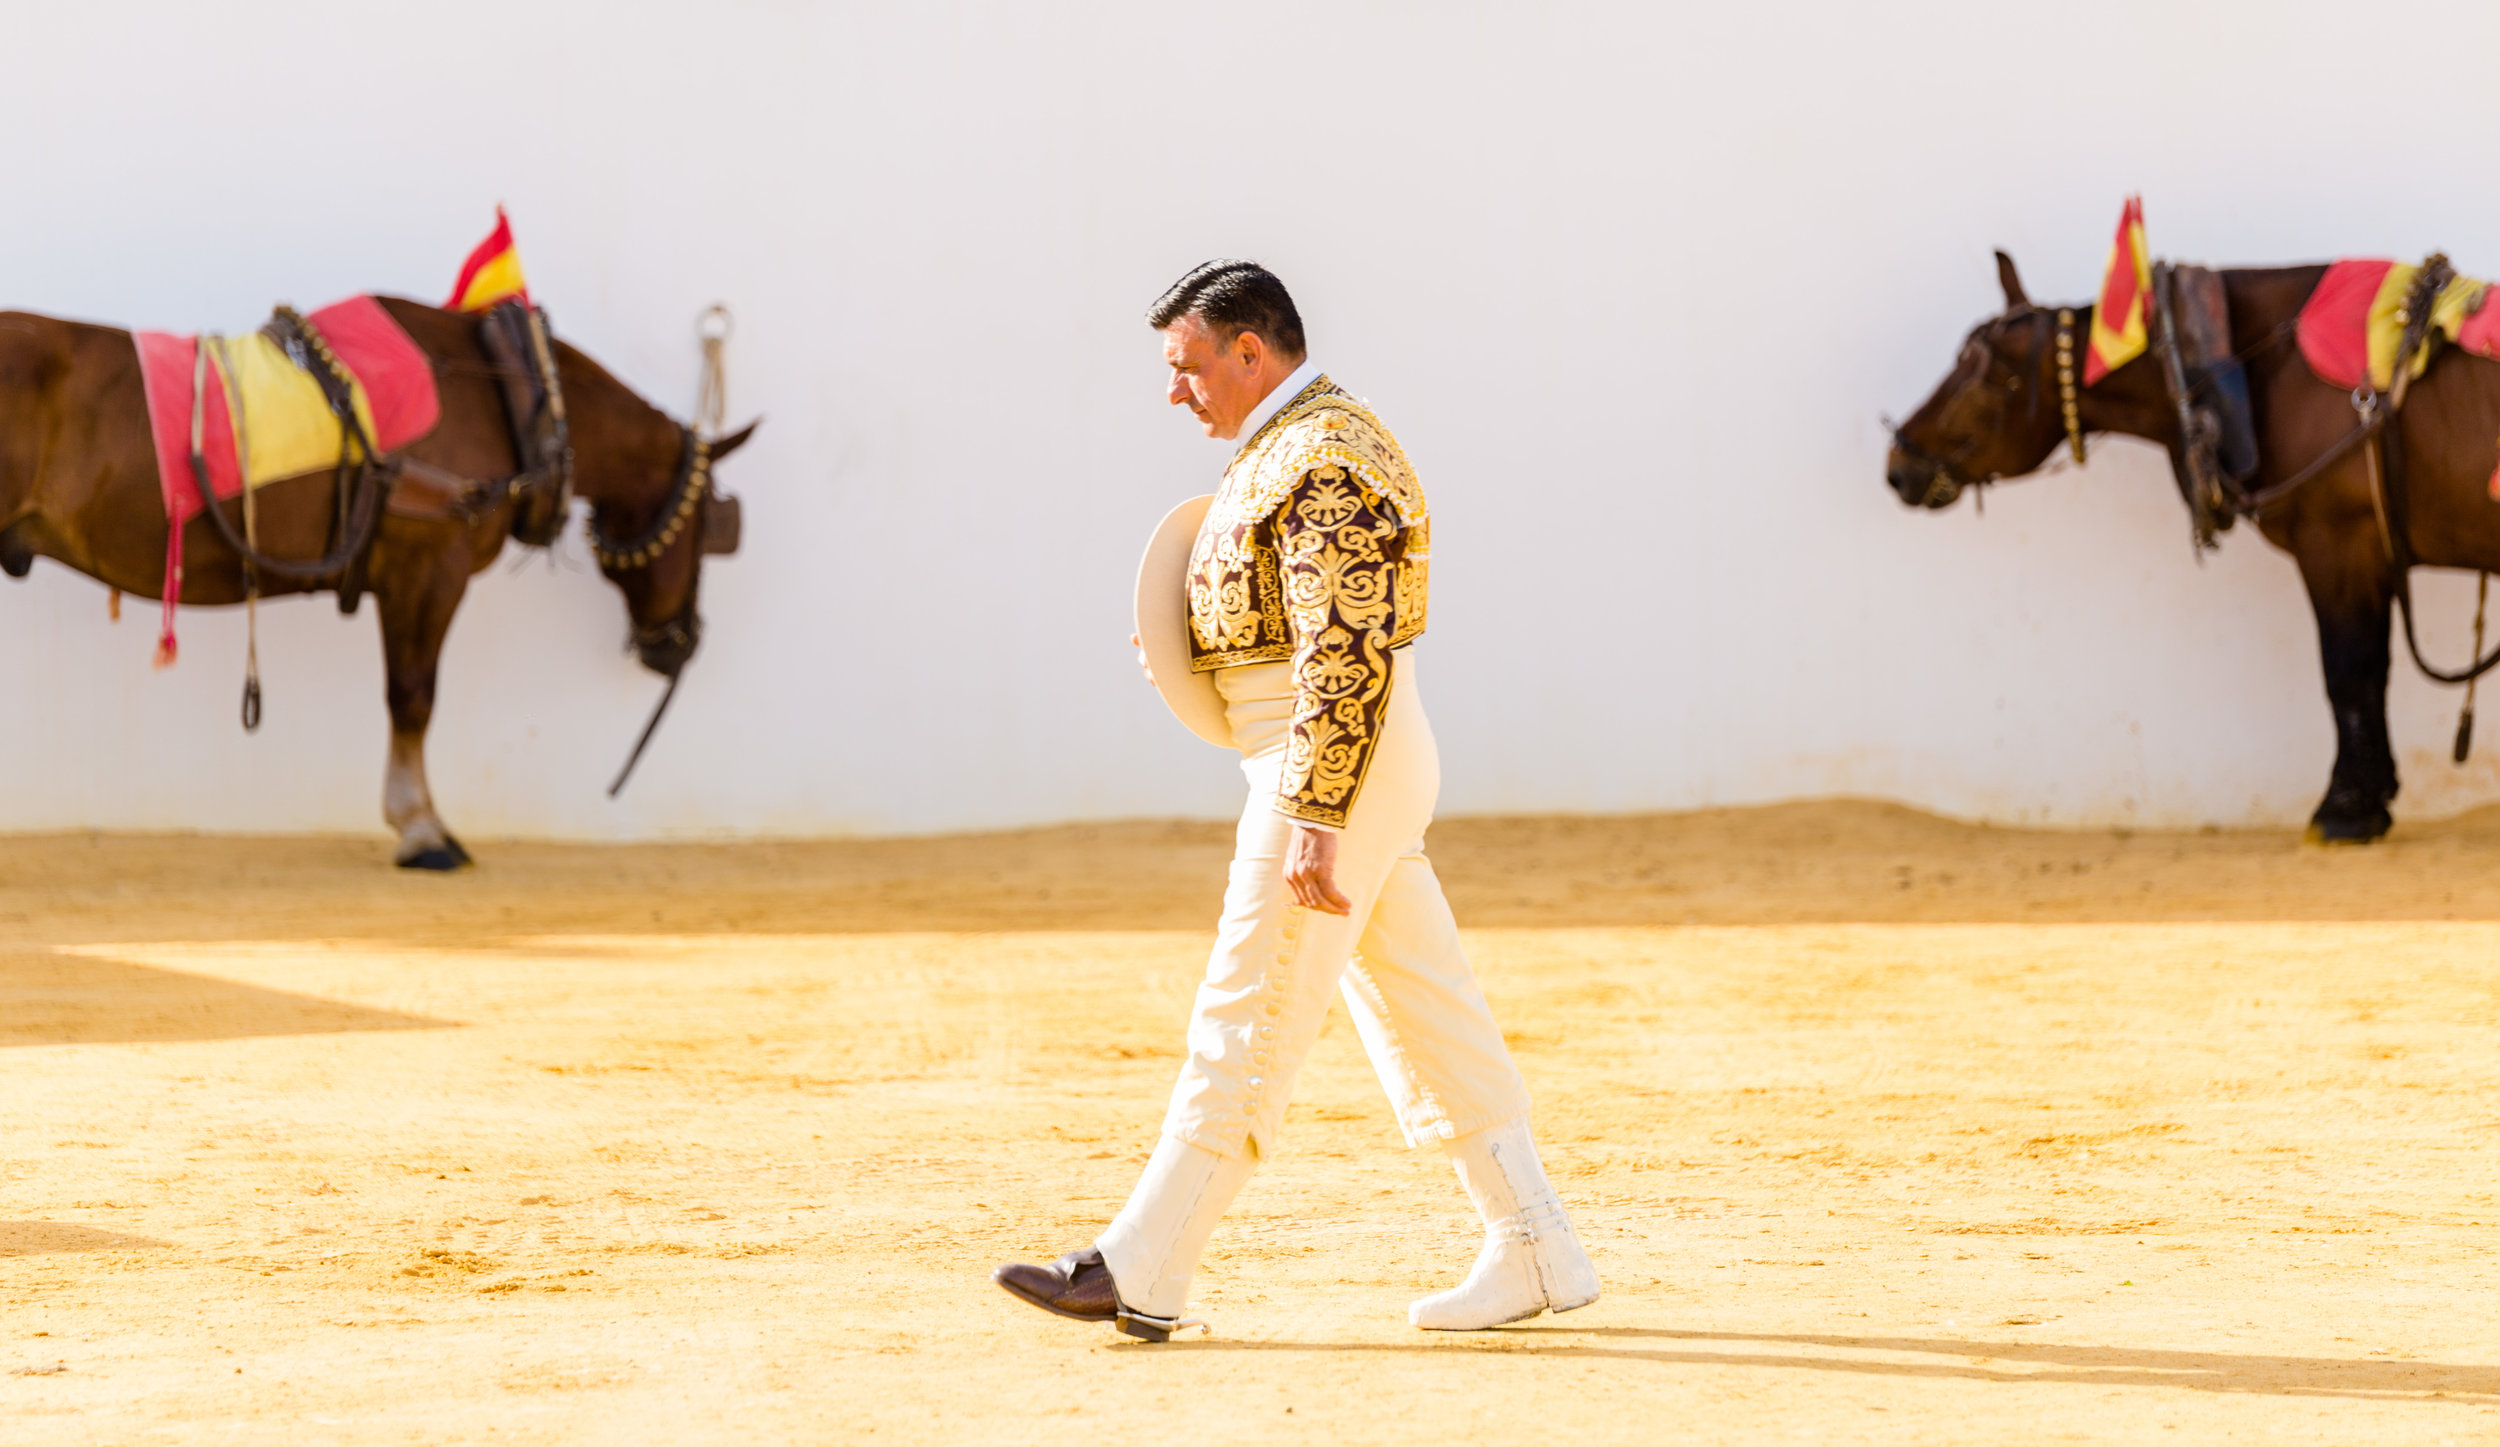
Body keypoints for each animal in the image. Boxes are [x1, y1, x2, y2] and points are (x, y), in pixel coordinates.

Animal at [0, 291, 750, 859]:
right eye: (712, 529)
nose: (679, 643)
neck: (502, 391)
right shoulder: (429, 567)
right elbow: (413, 695)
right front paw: (420, 825)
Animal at [1880, 247, 2500, 839]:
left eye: (1981, 373)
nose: (1899, 465)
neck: (2266, 366)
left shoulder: (2339, 544)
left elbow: (2349, 672)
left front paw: (2347, 809)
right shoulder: (2364, 552)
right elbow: (2365, 674)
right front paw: (2370, 796)